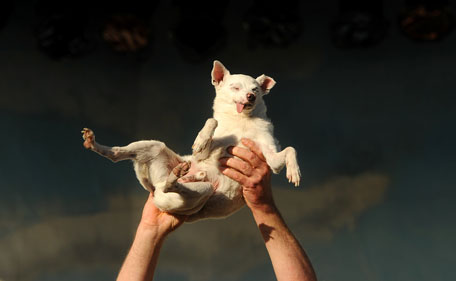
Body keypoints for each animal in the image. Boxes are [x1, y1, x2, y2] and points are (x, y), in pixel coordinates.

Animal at [81, 60, 302, 221]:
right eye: (235, 87)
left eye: (256, 90)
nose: (250, 96)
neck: (241, 121)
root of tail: (157, 192)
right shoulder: (203, 153)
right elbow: (212, 121)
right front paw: (202, 138)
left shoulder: (271, 159)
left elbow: (290, 149)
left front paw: (294, 170)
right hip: (155, 148)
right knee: (117, 154)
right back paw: (95, 143)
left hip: (199, 191)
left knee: (174, 185)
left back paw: (184, 175)